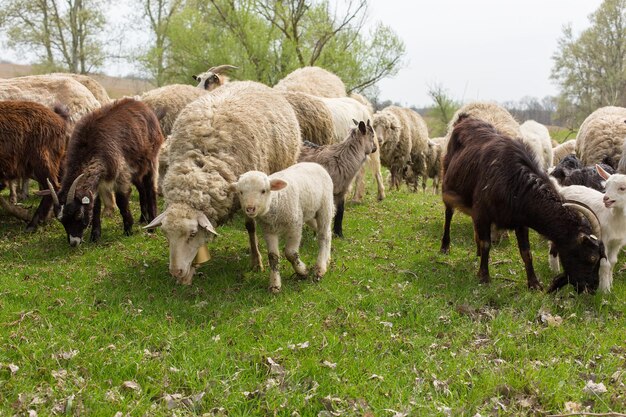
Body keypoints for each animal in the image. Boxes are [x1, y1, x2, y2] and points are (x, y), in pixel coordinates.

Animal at [48, 98, 163, 245]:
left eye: (78, 214)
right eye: (61, 221)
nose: (74, 242)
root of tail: (141, 105)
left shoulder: (121, 171)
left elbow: (121, 200)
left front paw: (128, 229)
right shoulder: (99, 180)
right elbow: (96, 206)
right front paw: (95, 236)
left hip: (151, 159)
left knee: (150, 189)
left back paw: (152, 226)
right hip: (136, 170)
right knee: (142, 188)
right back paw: (143, 219)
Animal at [146, 80, 302, 286]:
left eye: (192, 233)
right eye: (165, 234)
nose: (176, 272)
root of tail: (250, 82)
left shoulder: (248, 194)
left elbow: (250, 227)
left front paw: (256, 261)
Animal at [229, 162, 334, 292]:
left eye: (263, 191)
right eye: (241, 192)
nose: (250, 208)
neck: (276, 201)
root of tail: (314, 163)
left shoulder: (295, 226)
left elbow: (290, 253)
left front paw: (302, 271)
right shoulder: (269, 231)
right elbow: (273, 257)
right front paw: (275, 285)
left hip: (325, 206)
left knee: (323, 235)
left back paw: (320, 268)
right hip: (309, 213)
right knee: (326, 232)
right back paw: (327, 259)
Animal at [438, 114, 604, 292]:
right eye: (592, 258)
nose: (592, 288)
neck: (514, 182)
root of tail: (464, 119)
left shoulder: (520, 221)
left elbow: (526, 252)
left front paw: (534, 283)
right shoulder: (483, 213)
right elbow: (487, 244)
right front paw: (484, 276)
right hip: (447, 185)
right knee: (448, 214)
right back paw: (445, 246)